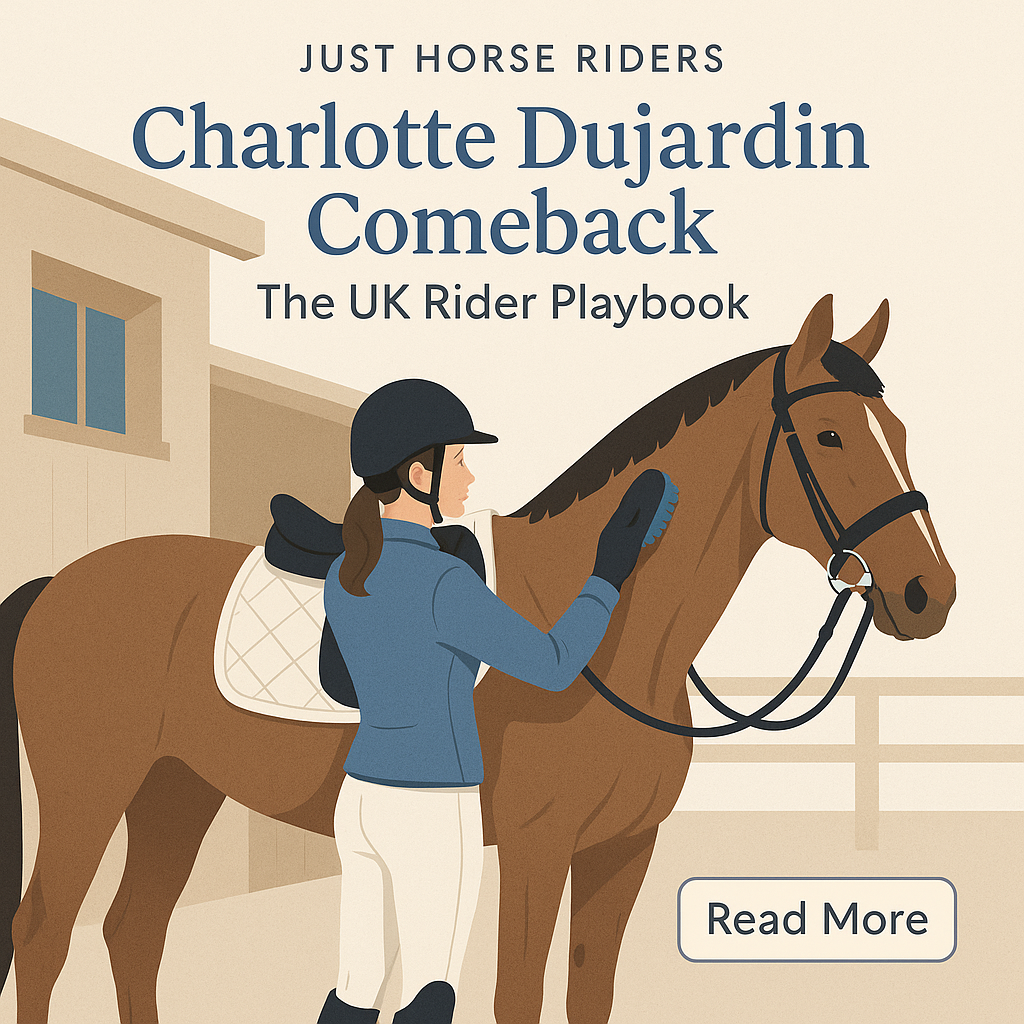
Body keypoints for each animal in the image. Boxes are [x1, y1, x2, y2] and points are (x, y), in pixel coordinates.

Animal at [0, 295, 955, 1024]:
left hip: (177, 789)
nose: (928, 594)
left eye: (901, 429)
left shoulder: (623, 852)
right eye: (828, 436)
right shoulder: (537, 850)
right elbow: (516, 999)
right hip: (93, 790)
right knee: (45, 937)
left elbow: (589, 997)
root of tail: (59, 584)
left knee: (133, 932)